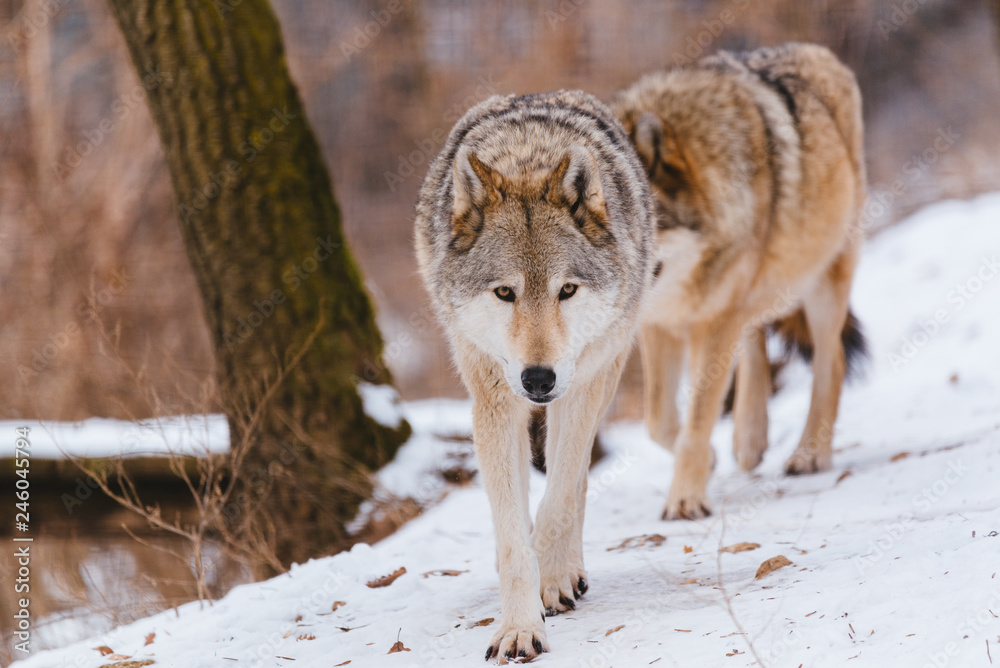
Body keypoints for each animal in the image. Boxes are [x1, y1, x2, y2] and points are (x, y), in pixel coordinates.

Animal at [415, 90, 655, 660]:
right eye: (505, 292)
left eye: (566, 290)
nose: (538, 379)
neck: (527, 159)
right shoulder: (495, 401)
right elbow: (511, 536)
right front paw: (520, 626)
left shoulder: (582, 388)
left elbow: (561, 495)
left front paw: (552, 580)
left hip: (605, 371)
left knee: (577, 478)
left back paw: (568, 569)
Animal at [613, 42, 867, 520]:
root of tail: (818, 52)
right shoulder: (659, 323)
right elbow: (659, 420)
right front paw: (709, 461)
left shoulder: (711, 320)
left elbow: (696, 418)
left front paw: (685, 499)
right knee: (755, 339)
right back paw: (749, 438)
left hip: (821, 280)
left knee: (832, 361)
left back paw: (809, 454)